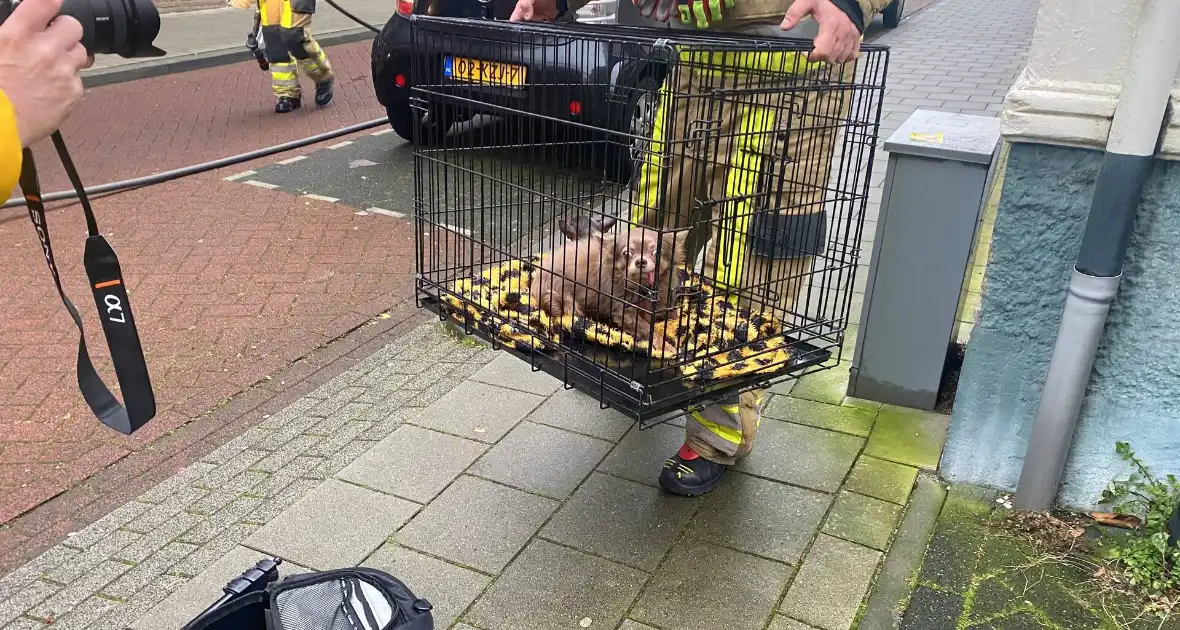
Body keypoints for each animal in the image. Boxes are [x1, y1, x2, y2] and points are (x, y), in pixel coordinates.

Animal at [531, 217, 689, 356]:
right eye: (627, 253)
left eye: (656, 252)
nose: (640, 261)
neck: (641, 288)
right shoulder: (625, 312)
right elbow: (648, 330)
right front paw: (666, 347)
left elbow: (668, 314)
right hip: (562, 300)